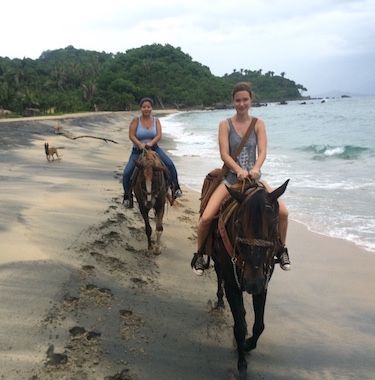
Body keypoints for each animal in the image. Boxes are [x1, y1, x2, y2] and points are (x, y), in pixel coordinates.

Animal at [213, 179, 290, 378]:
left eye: (275, 224)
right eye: (238, 223)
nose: (251, 281)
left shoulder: (263, 284)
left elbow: (259, 325)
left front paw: (248, 345)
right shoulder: (232, 285)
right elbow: (239, 327)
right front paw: (241, 363)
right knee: (218, 275)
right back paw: (219, 300)